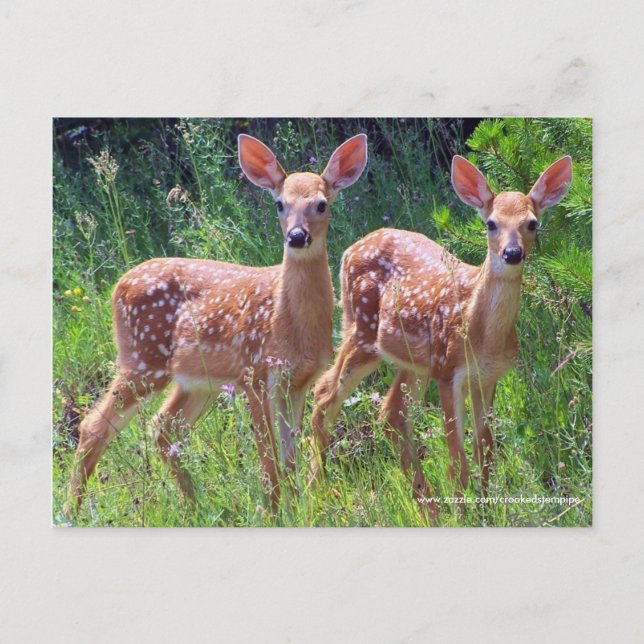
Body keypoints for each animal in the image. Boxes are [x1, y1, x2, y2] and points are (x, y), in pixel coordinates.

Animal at [63, 132, 368, 518]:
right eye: (279, 204)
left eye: (322, 204)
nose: (297, 237)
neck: (288, 323)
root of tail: (118, 285)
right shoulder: (254, 372)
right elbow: (269, 457)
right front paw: (274, 512)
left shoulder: (297, 381)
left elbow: (290, 457)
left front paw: (297, 510)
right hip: (143, 359)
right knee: (95, 426)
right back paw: (71, 512)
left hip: (196, 380)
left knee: (163, 427)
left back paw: (196, 507)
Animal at [311, 154, 572, 518]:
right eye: (491, 223)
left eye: (532, 223)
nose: (512, 253)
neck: (483, 335)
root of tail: (349, 250)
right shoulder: (449, 373)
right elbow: (456, 458)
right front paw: (463, 514)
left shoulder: (488, 378)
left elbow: (485, 450)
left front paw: (485, 509)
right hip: (362, 332)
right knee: (325, 394)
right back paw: (315, 491)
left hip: (415, 362)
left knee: (391, 414)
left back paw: (426, 505)